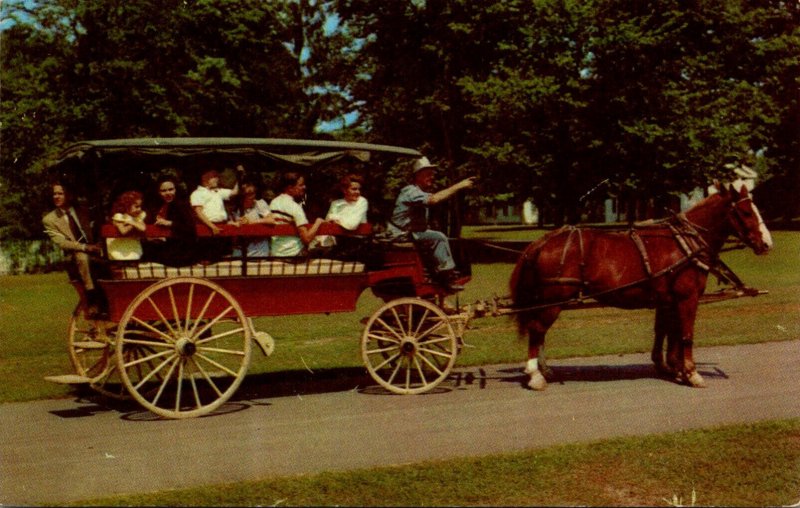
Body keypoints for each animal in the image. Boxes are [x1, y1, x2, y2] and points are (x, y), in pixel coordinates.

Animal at [510, 182, 772, 388]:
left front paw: (673, 368)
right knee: (537, 329)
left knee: (540, 331)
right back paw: (535, 375)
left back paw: (544, 369)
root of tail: (543, 241)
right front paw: (691, 372)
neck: (684, 244)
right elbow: (685, 334)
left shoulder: (668, 300)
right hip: (554, 298)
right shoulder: (687, 298)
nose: (767, 243)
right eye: (746, 213)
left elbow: (667, 332)